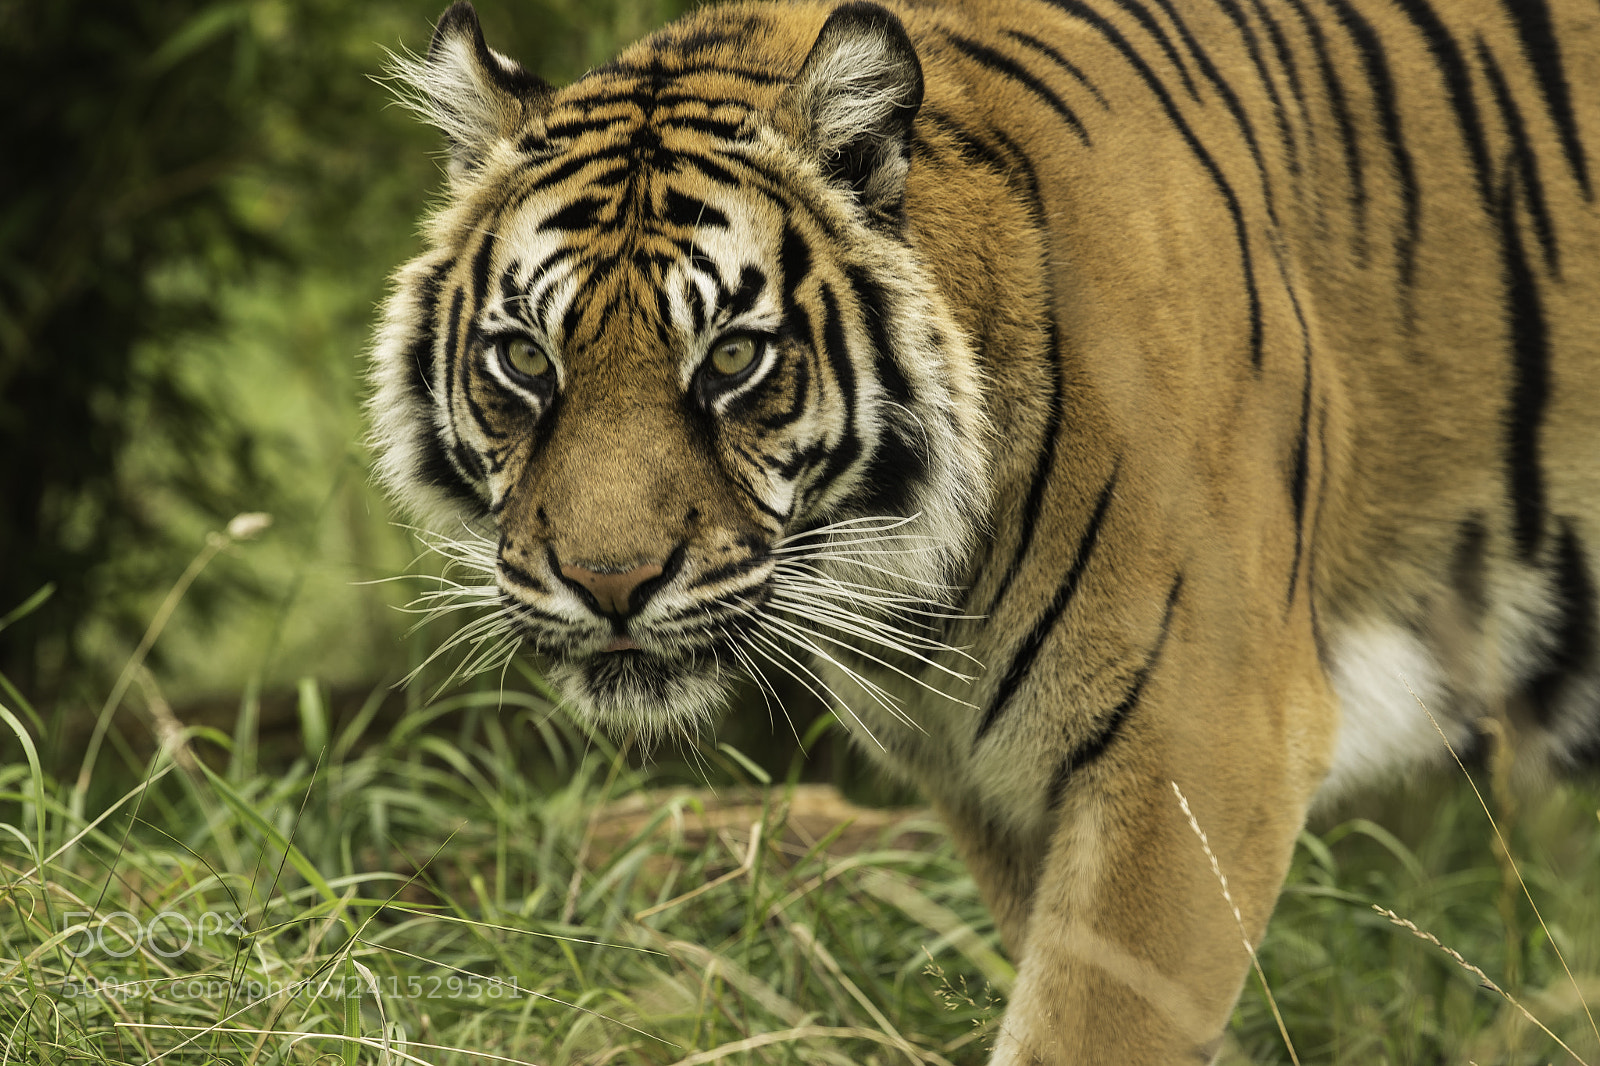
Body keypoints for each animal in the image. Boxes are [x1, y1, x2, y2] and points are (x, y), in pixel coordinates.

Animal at [367, 0, 1600, 1060]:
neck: (916, 584)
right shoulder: (996, 785)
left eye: (733, 358)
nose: (609, 582)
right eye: (526, 360)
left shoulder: (1204, 745)